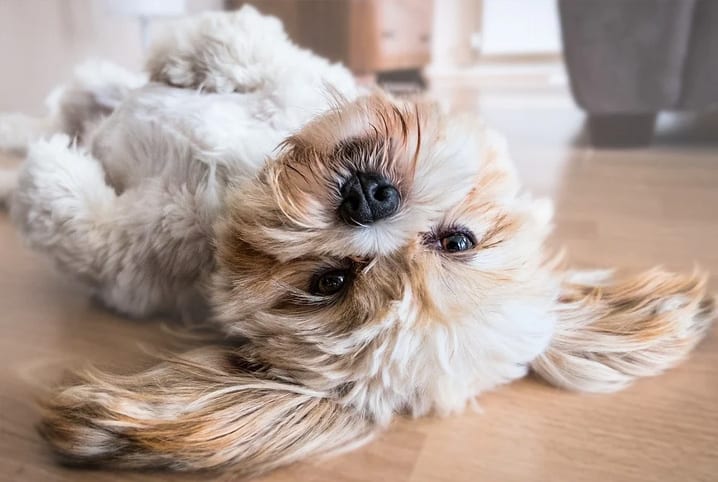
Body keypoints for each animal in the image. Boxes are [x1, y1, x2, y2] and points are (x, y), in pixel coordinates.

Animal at [1, 5, 716, 476]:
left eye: (330, 282)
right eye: (459, 241)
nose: (370, 197)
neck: (235, 185)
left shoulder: (136, 266)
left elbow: (85, 229)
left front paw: (48, 175)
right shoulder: (294, 81)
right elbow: (253, 51)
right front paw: (193, 51)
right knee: (71, 97)